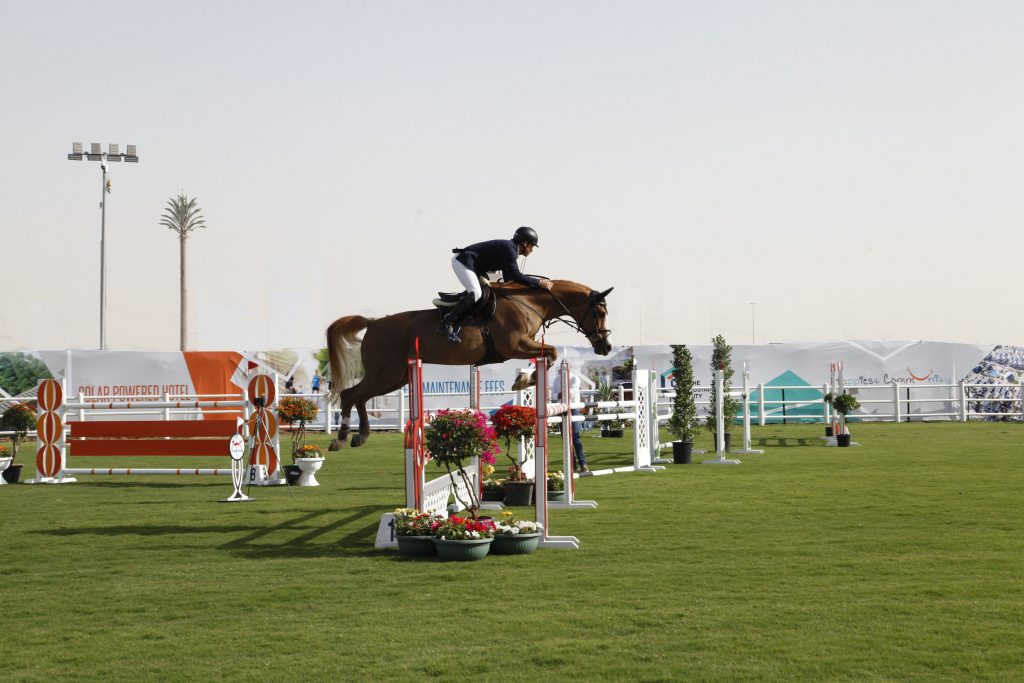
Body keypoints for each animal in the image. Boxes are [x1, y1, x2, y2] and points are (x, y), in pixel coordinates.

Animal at [327, 278, 610, 448]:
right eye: (599, 312)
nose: (605, 347)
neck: (528, 302)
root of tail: (373, 323)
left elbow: (548, 355)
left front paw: (526, 378)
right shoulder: (514, 345)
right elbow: (550, 353)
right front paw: (523, 380)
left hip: (395, 378)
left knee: (359, 397)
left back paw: (360, 435)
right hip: (385, 374)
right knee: (350, 395)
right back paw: (341, 437)